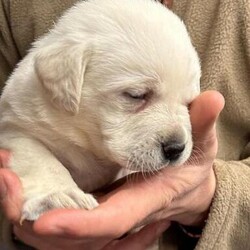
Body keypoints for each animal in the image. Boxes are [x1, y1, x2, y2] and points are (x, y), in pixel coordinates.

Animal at [0, 0, 199, 220]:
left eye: (188, 102)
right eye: (136, 95)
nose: (176, 148)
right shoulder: (15, 127)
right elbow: (41, 161)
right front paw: (59, 196)